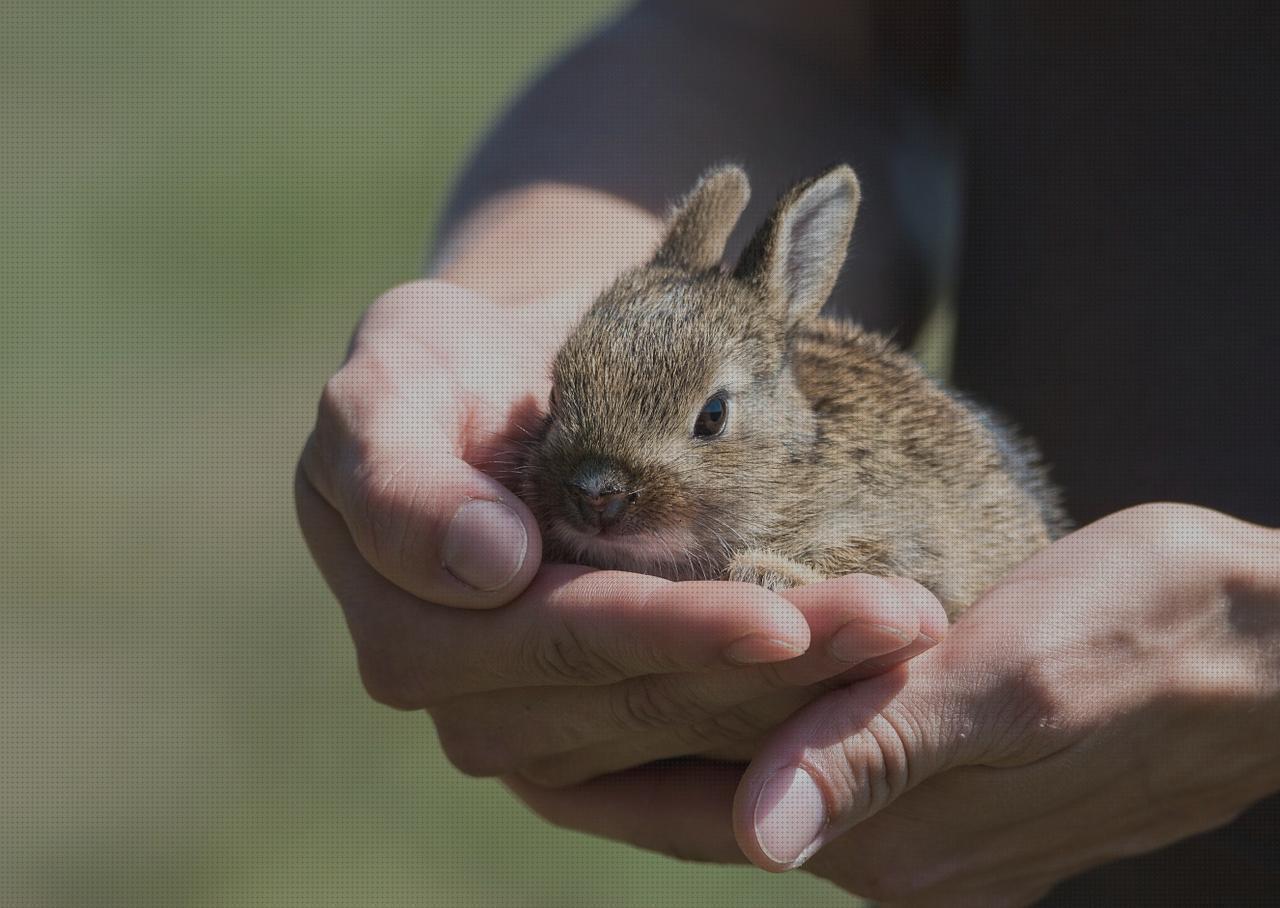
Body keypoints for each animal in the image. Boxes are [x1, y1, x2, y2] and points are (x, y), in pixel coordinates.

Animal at [514, 163, 1064, 617]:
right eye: (556, 396)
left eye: (713, 415)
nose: (595, 494)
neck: (786, 472)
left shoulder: (907, 542)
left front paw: (766, 573)